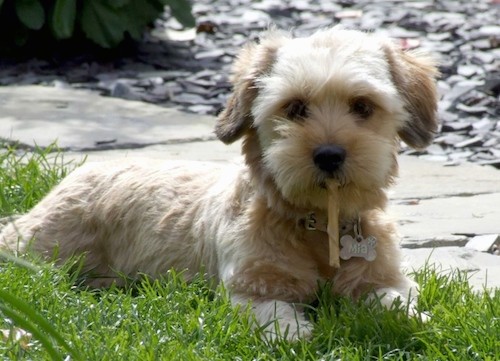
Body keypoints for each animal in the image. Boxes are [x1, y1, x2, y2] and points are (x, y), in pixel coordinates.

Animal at [0, 26, 438, 338]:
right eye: (294, 108)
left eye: (363, 106)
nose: (329, 155)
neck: (317, 225)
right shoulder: (249, 289)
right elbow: (276, 315)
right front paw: (294, 333)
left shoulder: (384, 278)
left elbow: (396, 302)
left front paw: (412, 318)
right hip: (44, 249)